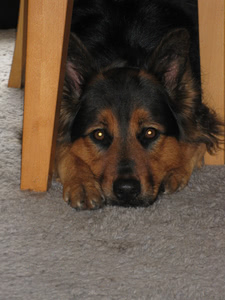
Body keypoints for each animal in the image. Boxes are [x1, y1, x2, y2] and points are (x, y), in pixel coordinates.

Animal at [54, 0, 221, 210]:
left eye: (150, 132)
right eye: (99, 134)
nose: (126, 190)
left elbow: (197, 141)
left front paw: (174, 169)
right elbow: (62, 147)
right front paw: (82, 182)